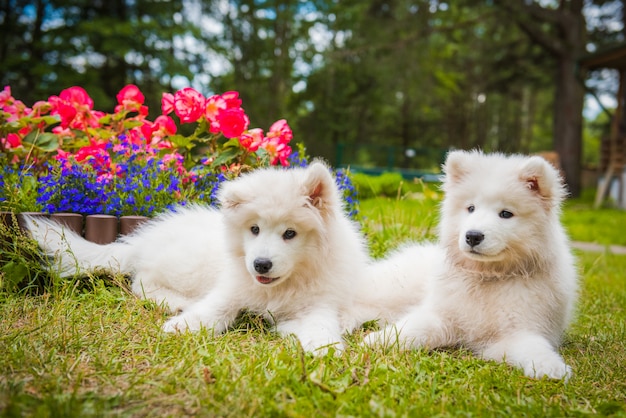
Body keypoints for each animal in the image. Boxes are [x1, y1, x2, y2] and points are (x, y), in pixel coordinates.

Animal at [29, 162, 392, 354]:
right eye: (254, 229)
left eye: (290, 234)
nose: (260, 264)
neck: (281, 286)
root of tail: (143, 239)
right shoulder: (231, 288)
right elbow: (213, 309)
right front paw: (181, 326)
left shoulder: (318, 304)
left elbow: (320, 324)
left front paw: (324, 347)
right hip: (186, 265)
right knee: (141, 282)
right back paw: (177, 303)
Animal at [364, 150, 576, 378]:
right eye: (471, 208)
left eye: (506, 214)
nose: (473, 236)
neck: (488, 277)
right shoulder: (442, 314)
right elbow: (413, 326)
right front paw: (378, 339)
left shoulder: (518, 330)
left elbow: (533, 346)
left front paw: (551, 366)